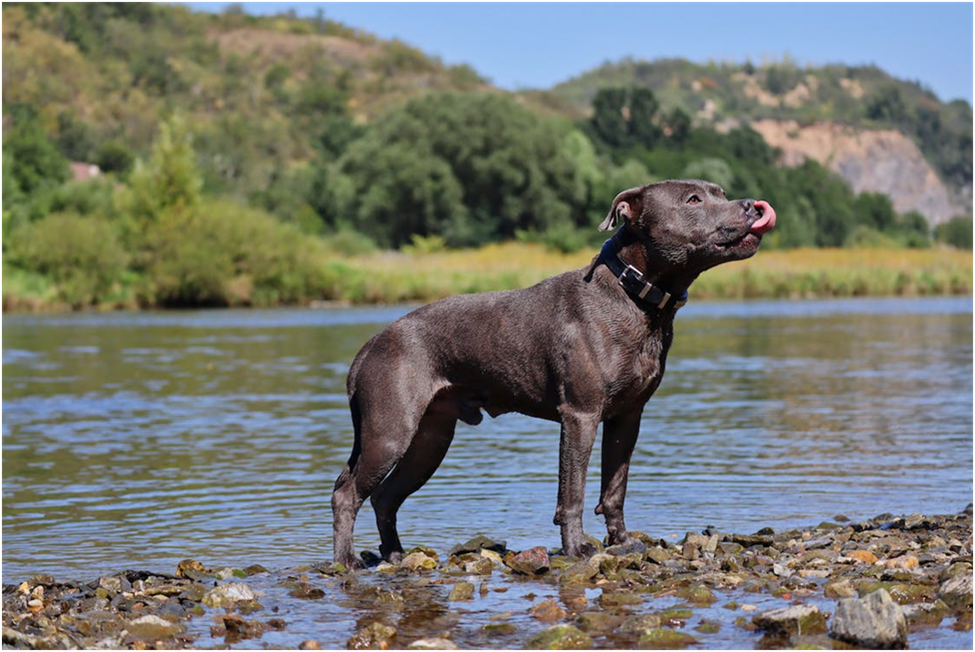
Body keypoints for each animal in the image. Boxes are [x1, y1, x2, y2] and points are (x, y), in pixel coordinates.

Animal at [334, 177, 776, 564]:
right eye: (692, 200)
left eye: (720, 192)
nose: (753, 205)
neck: (636, 294)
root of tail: (368, 346)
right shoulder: (580, 416)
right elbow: (573, 491)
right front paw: (578, 548)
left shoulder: (627, 417)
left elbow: (614, 487)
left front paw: (622, 542)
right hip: (390, 433)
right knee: (347, 493)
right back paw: (346, 561)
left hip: (430, 439)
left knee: (385, 497)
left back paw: (394, 555)